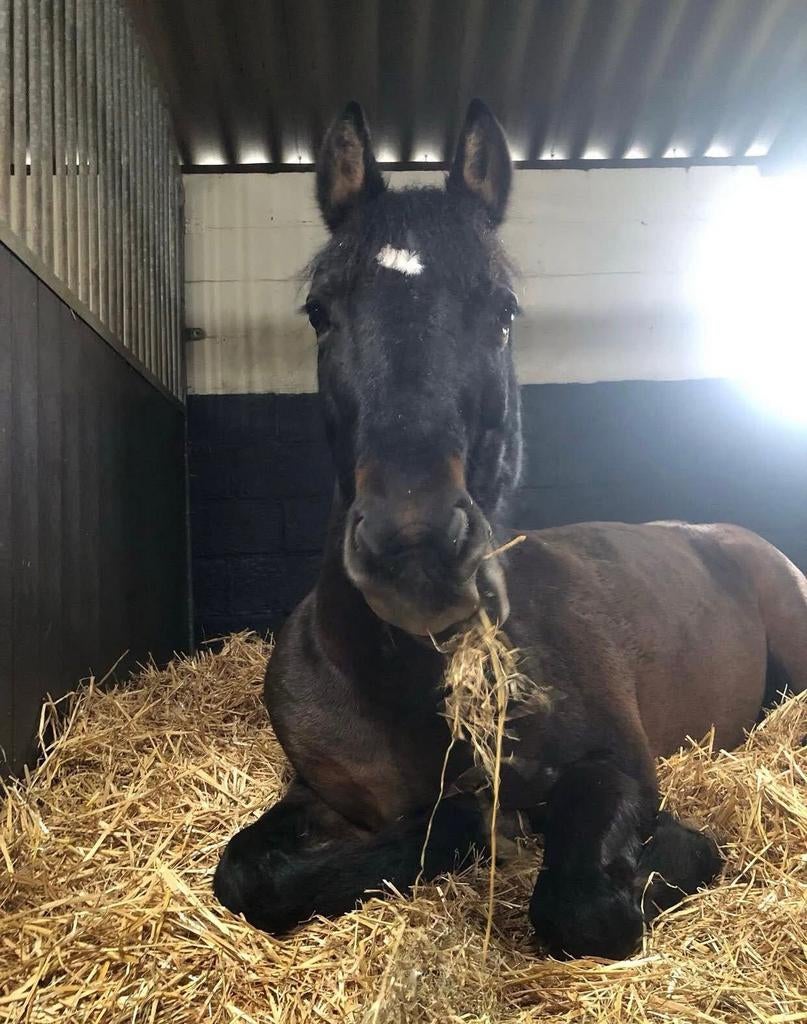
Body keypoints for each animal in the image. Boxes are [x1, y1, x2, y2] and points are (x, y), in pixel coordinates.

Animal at [213, 100, 807, 959]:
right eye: (320, 312)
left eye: (503, 311)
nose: (413, 544)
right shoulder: (321, 791)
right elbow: (247, 875)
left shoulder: (614, 765)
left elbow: (586, 904)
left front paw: (677, 848)